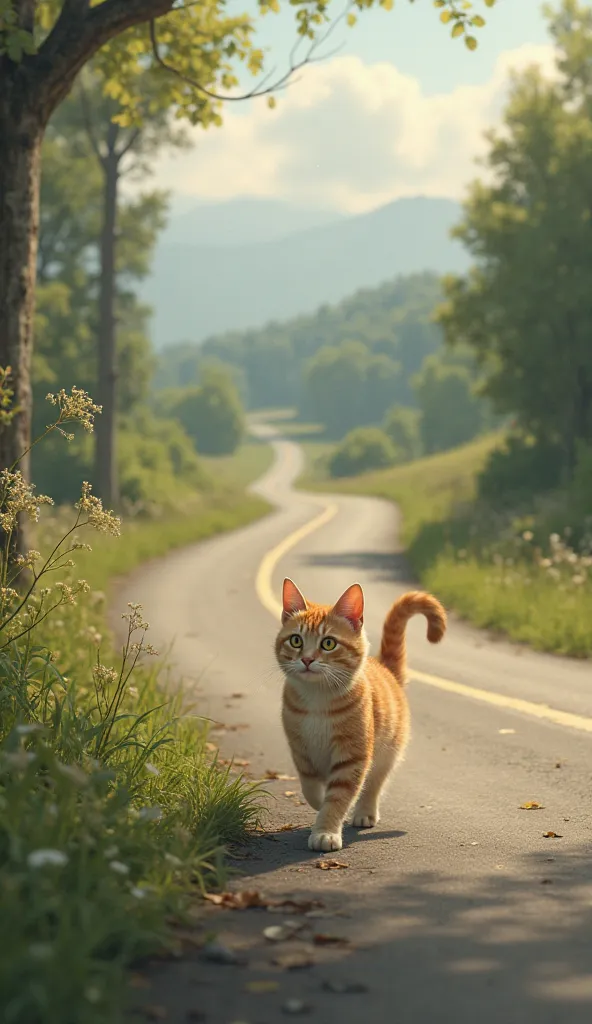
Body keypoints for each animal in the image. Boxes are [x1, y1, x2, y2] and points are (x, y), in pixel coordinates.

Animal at [274, 581, 444, 851]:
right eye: (296, 640)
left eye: (328, 643)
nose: (307, 659)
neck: (317, 699)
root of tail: (386, 668)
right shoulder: (300, 750)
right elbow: (311, 788)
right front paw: (319, 803)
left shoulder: (352, 757)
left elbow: (338, 798)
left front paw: (326, 831)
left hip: (387, 754)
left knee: (374, 785)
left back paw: (365, 812)